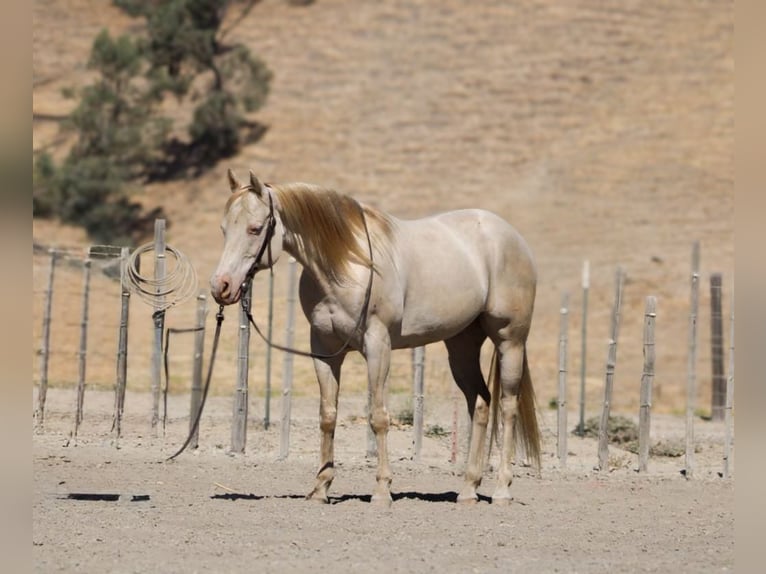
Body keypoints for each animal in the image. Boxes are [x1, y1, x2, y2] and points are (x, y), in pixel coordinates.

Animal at [210, 169, 540, 506]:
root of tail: (511, 237)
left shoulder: (377, 345)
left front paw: (382, 490)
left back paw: (502, 490)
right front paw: (320, 488)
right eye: (223, 229)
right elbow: (327, 415)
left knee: (508, 406)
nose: (221, 286)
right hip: (461, 347)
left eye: (254, 228)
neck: (348, 265)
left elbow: (379, 416)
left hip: (510, 341)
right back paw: (469, 489)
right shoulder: (324, 349)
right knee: (481, 404)